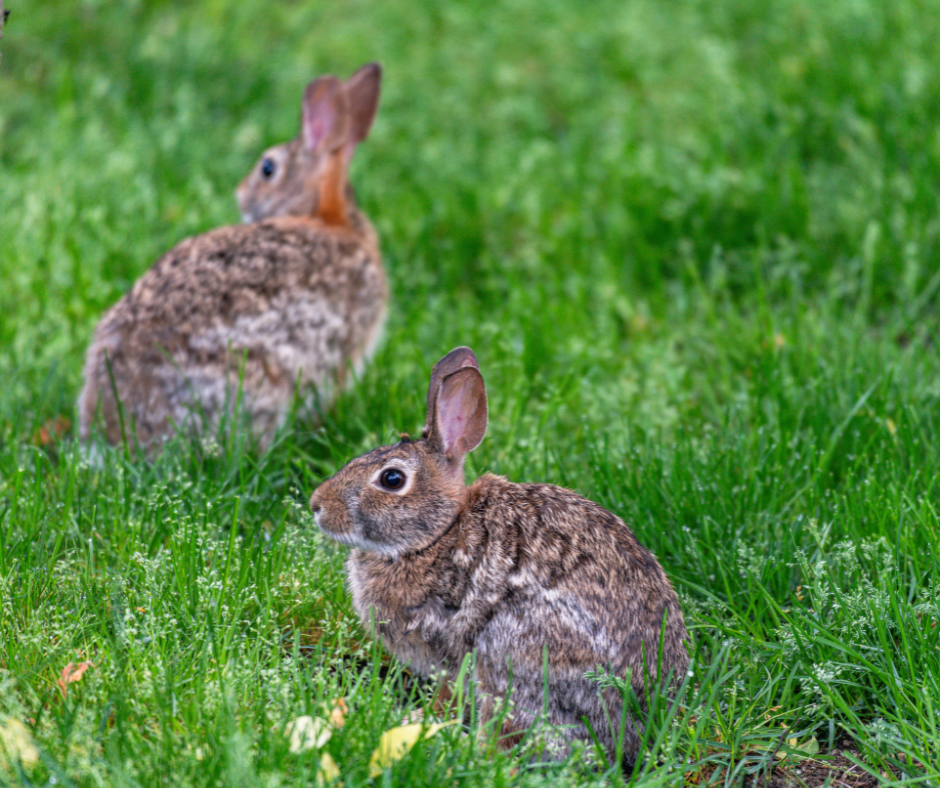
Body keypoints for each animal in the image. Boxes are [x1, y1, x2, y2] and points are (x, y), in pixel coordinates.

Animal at [309, 347, 690, 767]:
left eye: (391, 480)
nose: (316, 505)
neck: (436, 536)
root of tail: (635, 724)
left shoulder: (447, 646)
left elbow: (448, 694)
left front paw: (419, 720)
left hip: (509, 653)